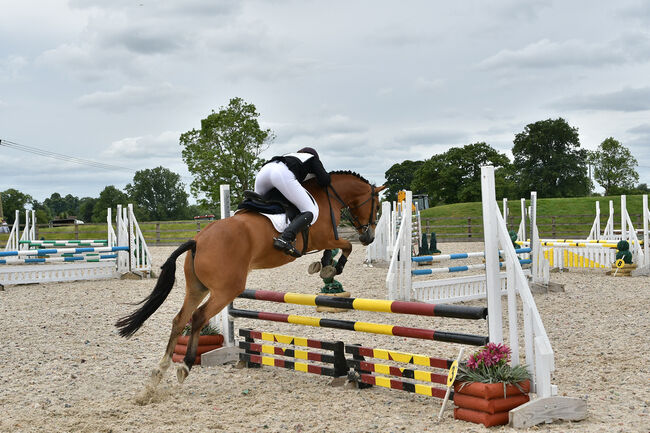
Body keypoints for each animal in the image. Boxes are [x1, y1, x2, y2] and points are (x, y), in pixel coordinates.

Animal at [115, 170, 384, 398]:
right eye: (378, 206)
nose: (368, 237)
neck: (326, 195)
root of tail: (197, 240)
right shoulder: (325, 237)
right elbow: (345, 247)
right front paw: (332, 267)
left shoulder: (326, 240)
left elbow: (337, 249)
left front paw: (323, 265)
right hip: (226, 290)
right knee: (198, 317)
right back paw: (185, 366)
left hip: (198, 288)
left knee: (180, 319)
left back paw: (157, 375)